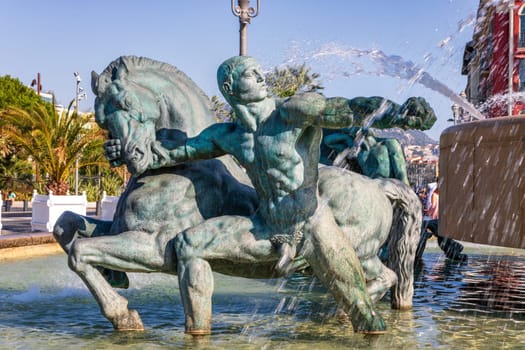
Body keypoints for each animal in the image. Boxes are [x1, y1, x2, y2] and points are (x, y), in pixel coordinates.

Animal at [54, 56, 422, 334]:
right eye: (101, 117)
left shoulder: (155, 247)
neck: (183, 169)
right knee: (384, 275)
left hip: (353, 249)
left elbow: (79, 252)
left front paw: (124, 314)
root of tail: (379, 186)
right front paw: (115, 277)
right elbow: (66, 226)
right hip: (362, 253)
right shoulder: (119, 228)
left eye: (127, 102)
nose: (132, 154)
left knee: (373, 275)